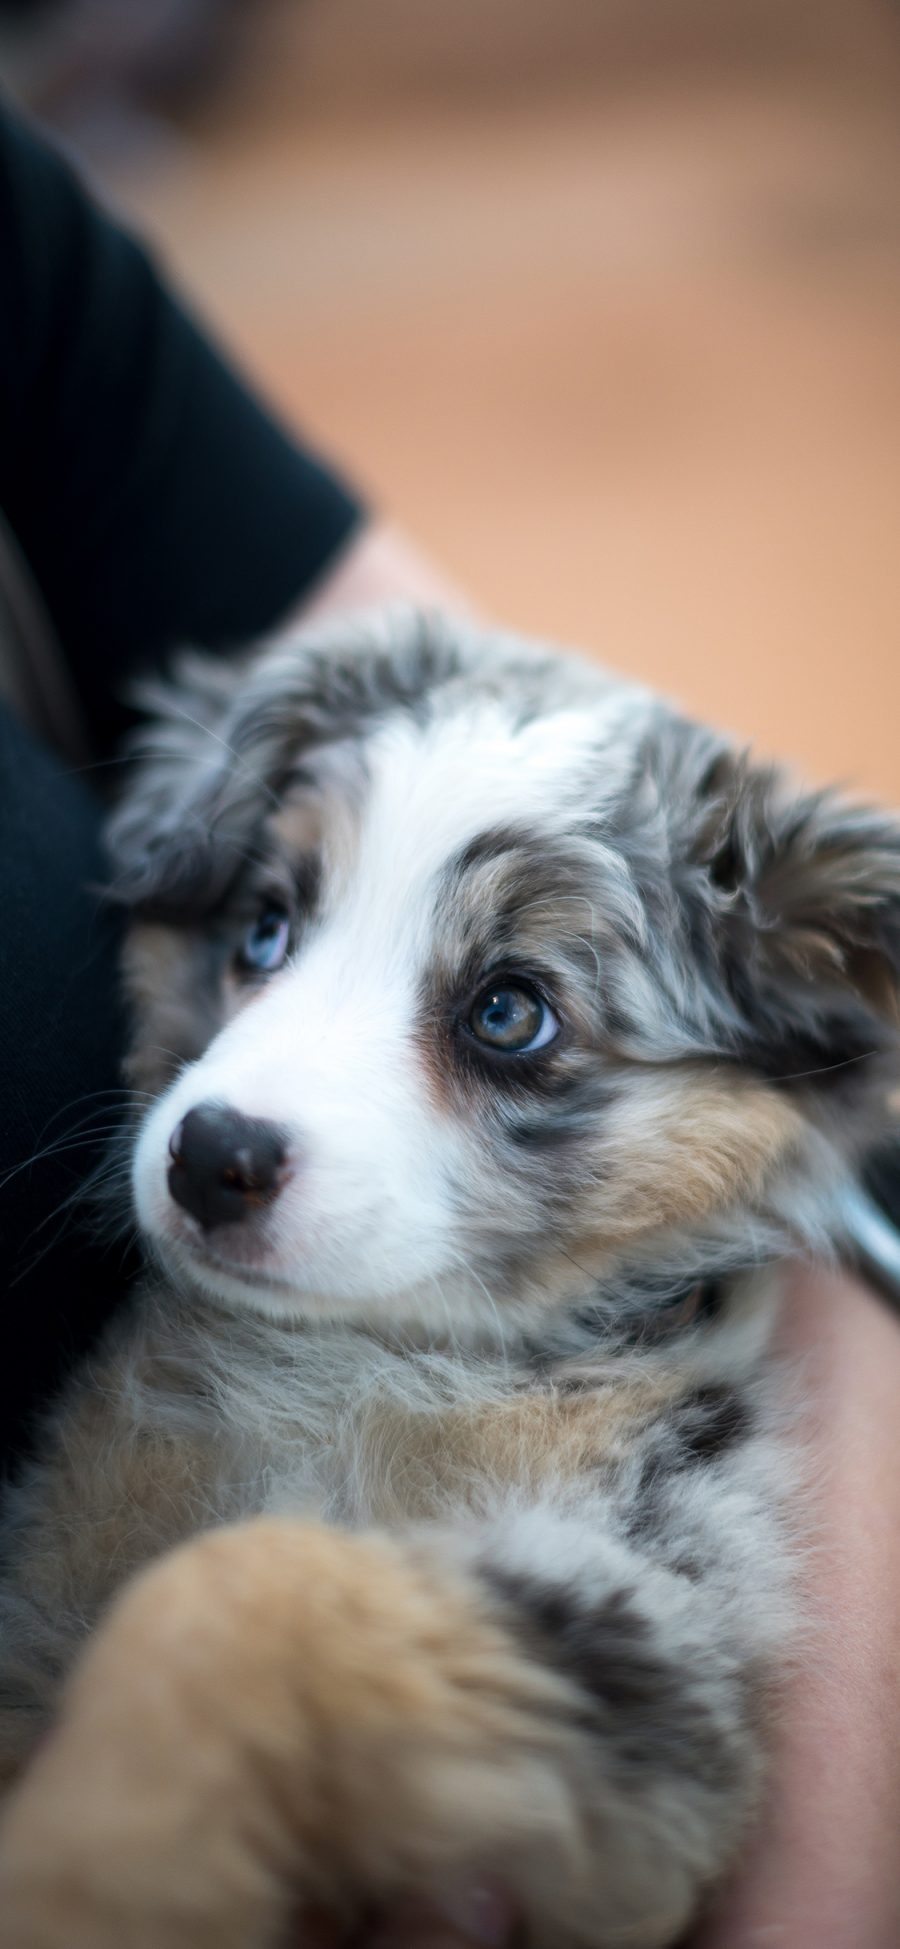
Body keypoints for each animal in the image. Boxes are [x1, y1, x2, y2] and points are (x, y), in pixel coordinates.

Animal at [0, 611, 896, 1949]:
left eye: (510, 1012)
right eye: (265, 928)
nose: (210, 1157)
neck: (375, 1351)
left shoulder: (659, 1639)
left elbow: (258, 1577)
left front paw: (84, 1856)